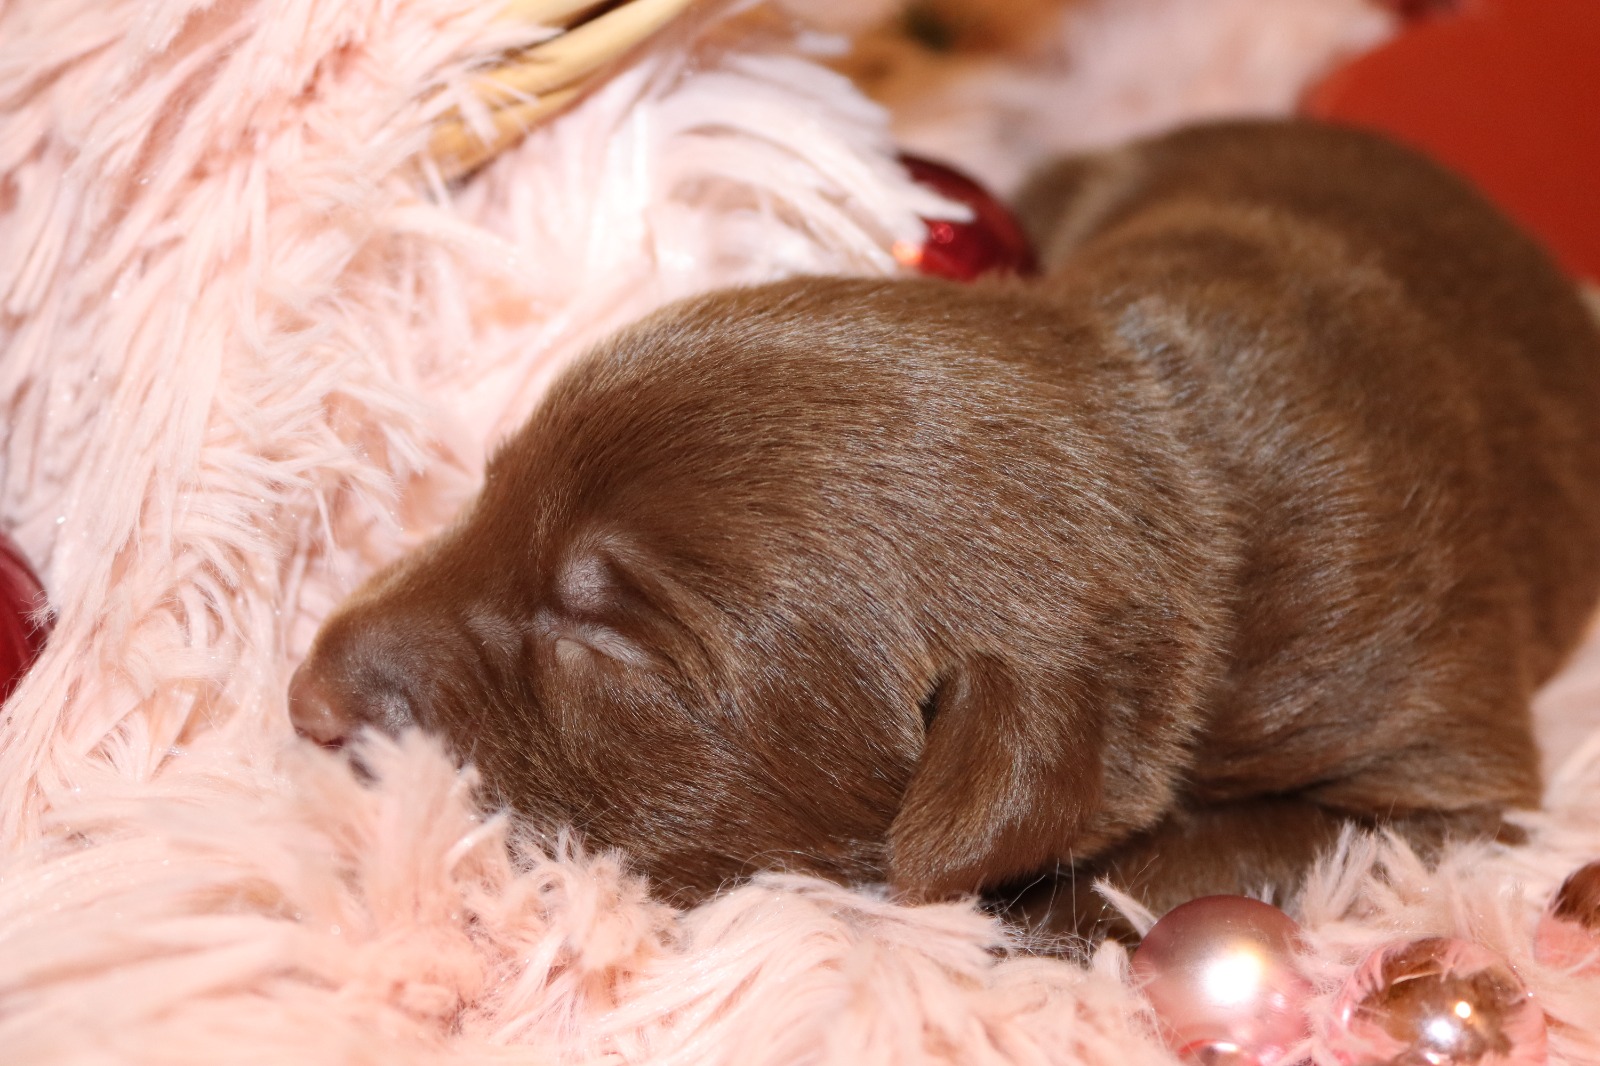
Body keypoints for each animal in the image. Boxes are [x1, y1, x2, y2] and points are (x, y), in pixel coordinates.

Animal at [289, 120, 1600, 940]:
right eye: (490, 488)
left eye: (608, 643)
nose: (306, 700)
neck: (1173, 455)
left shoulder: (1439, 767)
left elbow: (1229, 846)